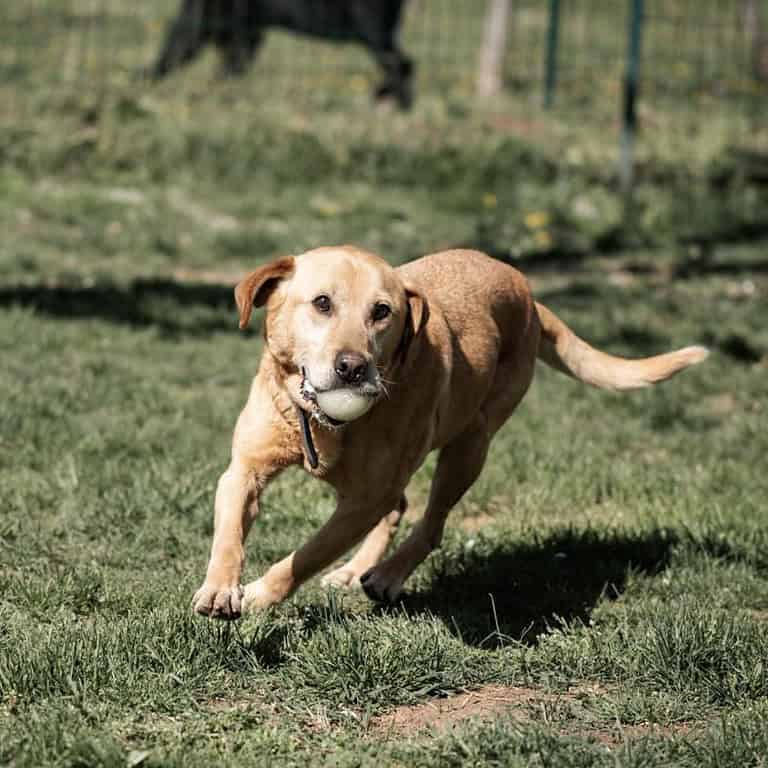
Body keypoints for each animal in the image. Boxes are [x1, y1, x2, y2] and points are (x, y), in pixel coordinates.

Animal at [194, 246, 708, 616]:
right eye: (322, 303)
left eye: (382, 312)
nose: (353, 368)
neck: (324, 424)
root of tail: (528, 294)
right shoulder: (244, 471)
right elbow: (229, 535)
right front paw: (220, 588)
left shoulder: (365, 499)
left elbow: (307, 555)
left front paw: (261, 593)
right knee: (399, 505)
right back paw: (356, 569)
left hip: (468, 447)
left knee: (430, 522)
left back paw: (386, 575)